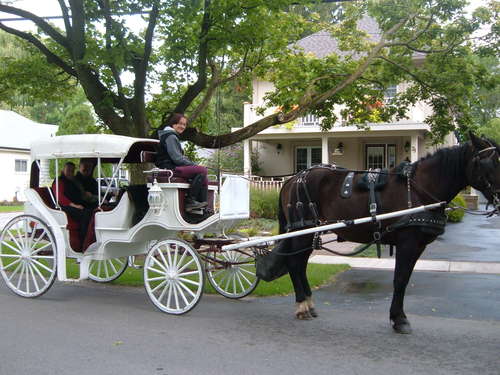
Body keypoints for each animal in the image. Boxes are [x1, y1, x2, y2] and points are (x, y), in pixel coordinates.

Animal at [278, 134, 500, 334]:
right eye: (488, 162)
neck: (419, 190)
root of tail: (293, 178)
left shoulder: (418, 246)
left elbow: (405, 279)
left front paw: (397, 317)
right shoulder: (407, 243)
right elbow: (400, 279)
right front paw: (399, 319)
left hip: (309, 233)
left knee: (300, 264)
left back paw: (308, 304)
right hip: (302, 231)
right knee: (294, 263)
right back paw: (302, 306)